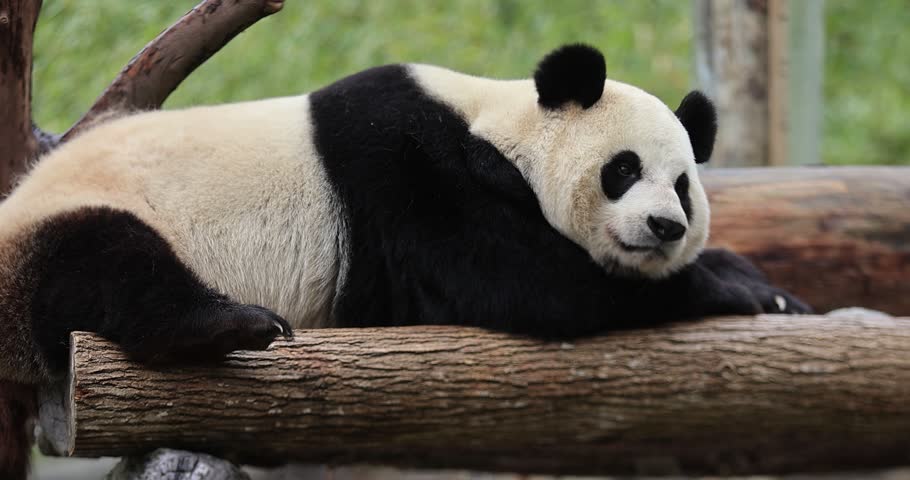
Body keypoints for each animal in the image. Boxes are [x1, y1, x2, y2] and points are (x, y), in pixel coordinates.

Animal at [0, 44, 809, 478]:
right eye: (624, 170)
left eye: (684, 186)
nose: (666, 227)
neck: (495, 126)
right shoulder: (403, 163)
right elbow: (520, 281)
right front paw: (728, 287)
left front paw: (772, 290)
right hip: (65, 224)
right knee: (106, 260)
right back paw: (227, 325)